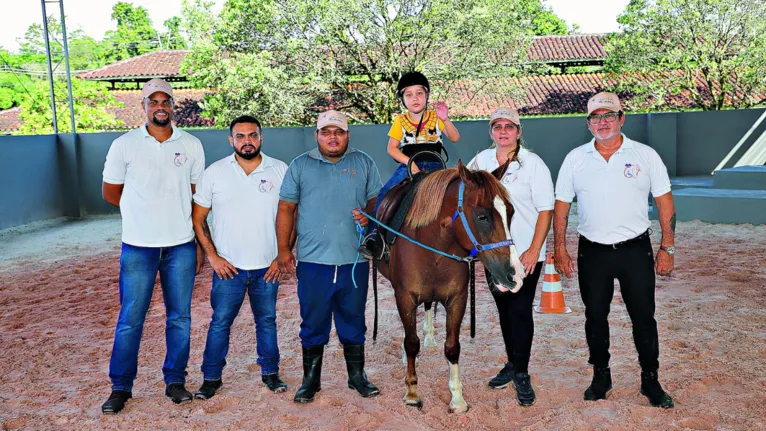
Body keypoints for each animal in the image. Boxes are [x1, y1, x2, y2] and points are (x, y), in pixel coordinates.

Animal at [376, 160, 524, 414]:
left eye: (511, 212)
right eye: (482, 216)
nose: (515, 274)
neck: (433, 245)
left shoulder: (457, 299)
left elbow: (452, 347)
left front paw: (457, 399)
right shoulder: (404, 297)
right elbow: (411, 343)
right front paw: (412, 392)